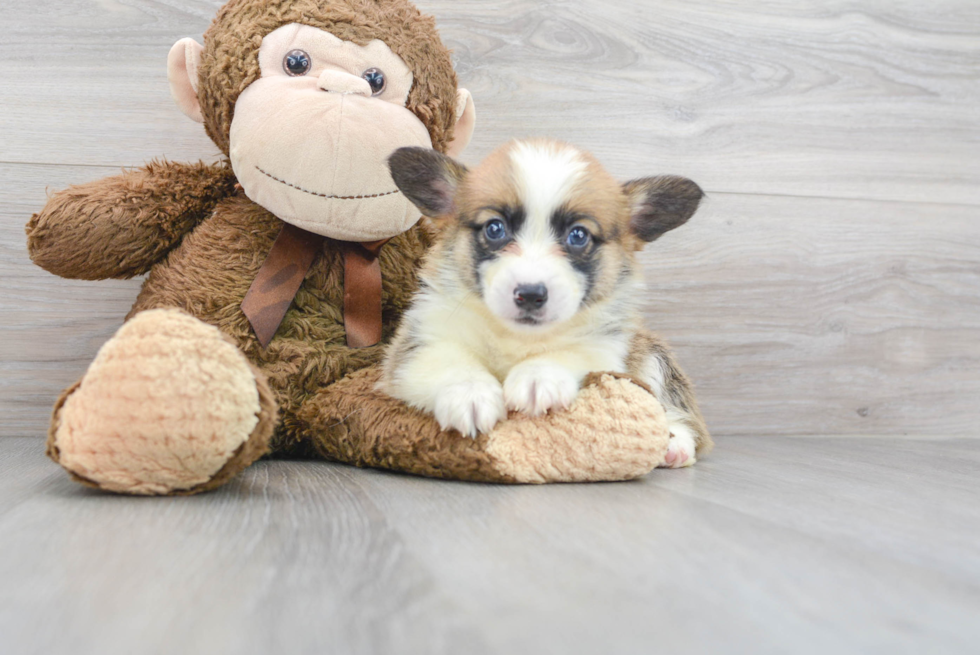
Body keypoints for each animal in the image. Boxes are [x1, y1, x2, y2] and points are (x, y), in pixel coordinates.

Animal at [382, 140, 712, 466]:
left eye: (578, 235)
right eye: (494, 228)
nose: (529, 294)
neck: (517, 337)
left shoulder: (606, 347)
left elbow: (570, 352)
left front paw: (538, 376)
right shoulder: (420, 343)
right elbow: (451, 362)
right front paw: (469, 394)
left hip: (655, 355)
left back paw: (675, 444)